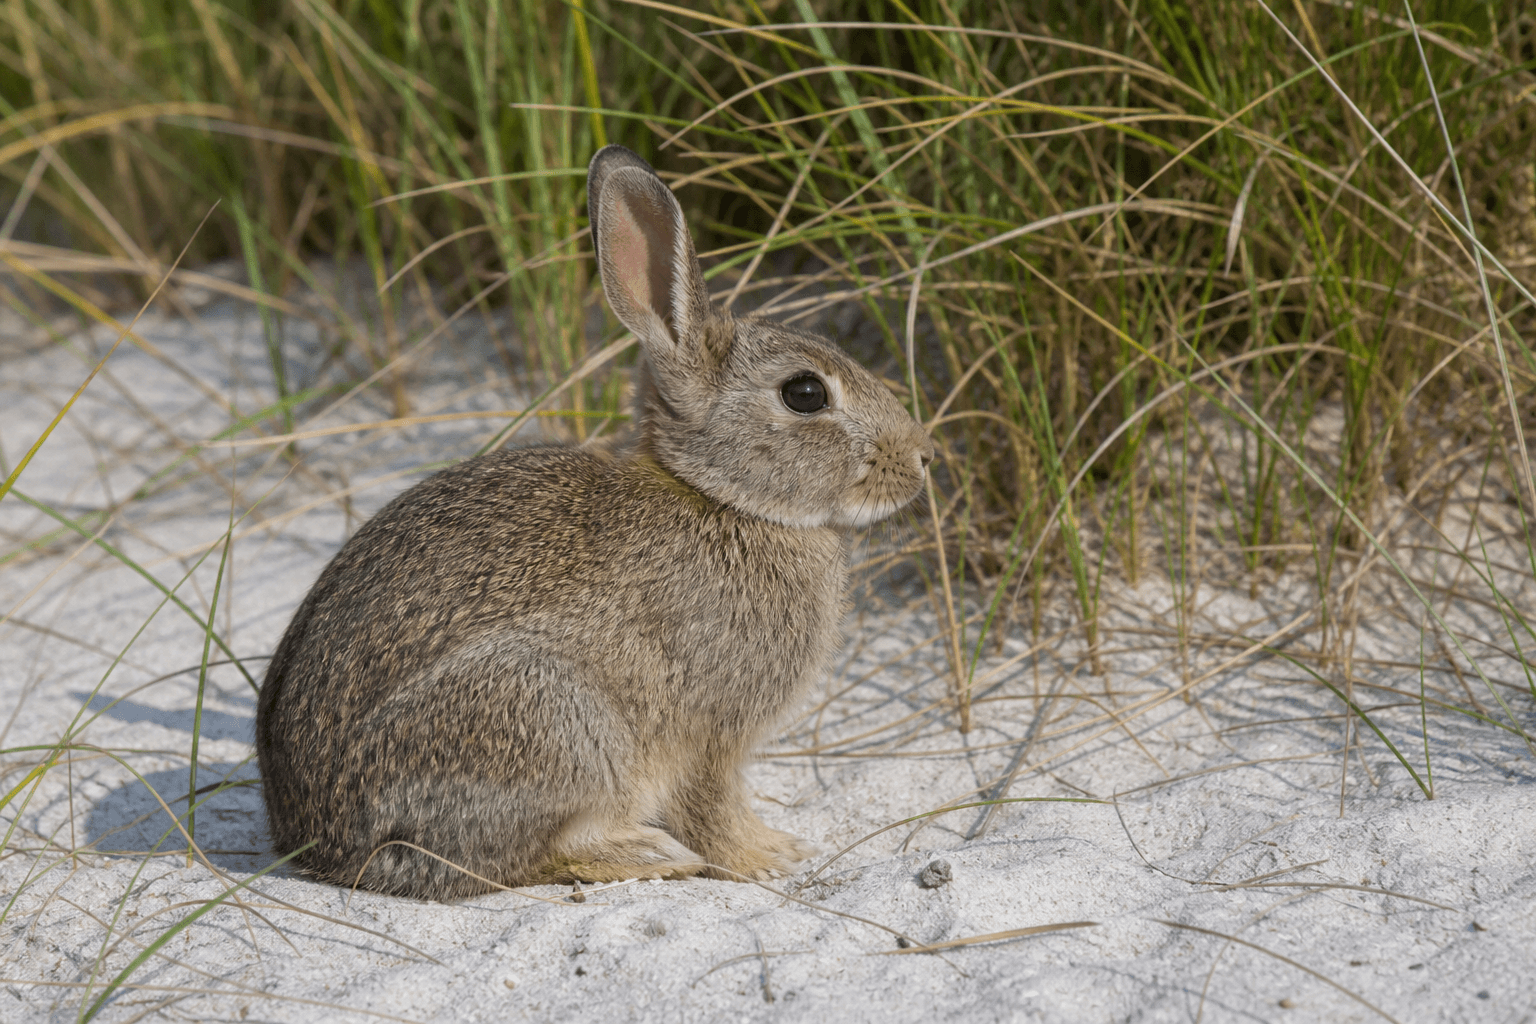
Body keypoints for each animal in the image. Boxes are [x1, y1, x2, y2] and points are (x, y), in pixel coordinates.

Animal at [255, 144, 934, 900]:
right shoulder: (711, 734)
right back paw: (646, 852)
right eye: (806, 393)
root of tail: (326, 847)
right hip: (550, 721)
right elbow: (713, 807)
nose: (921, 459)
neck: (723, 499)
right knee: (511, 858)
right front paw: (767, 858)